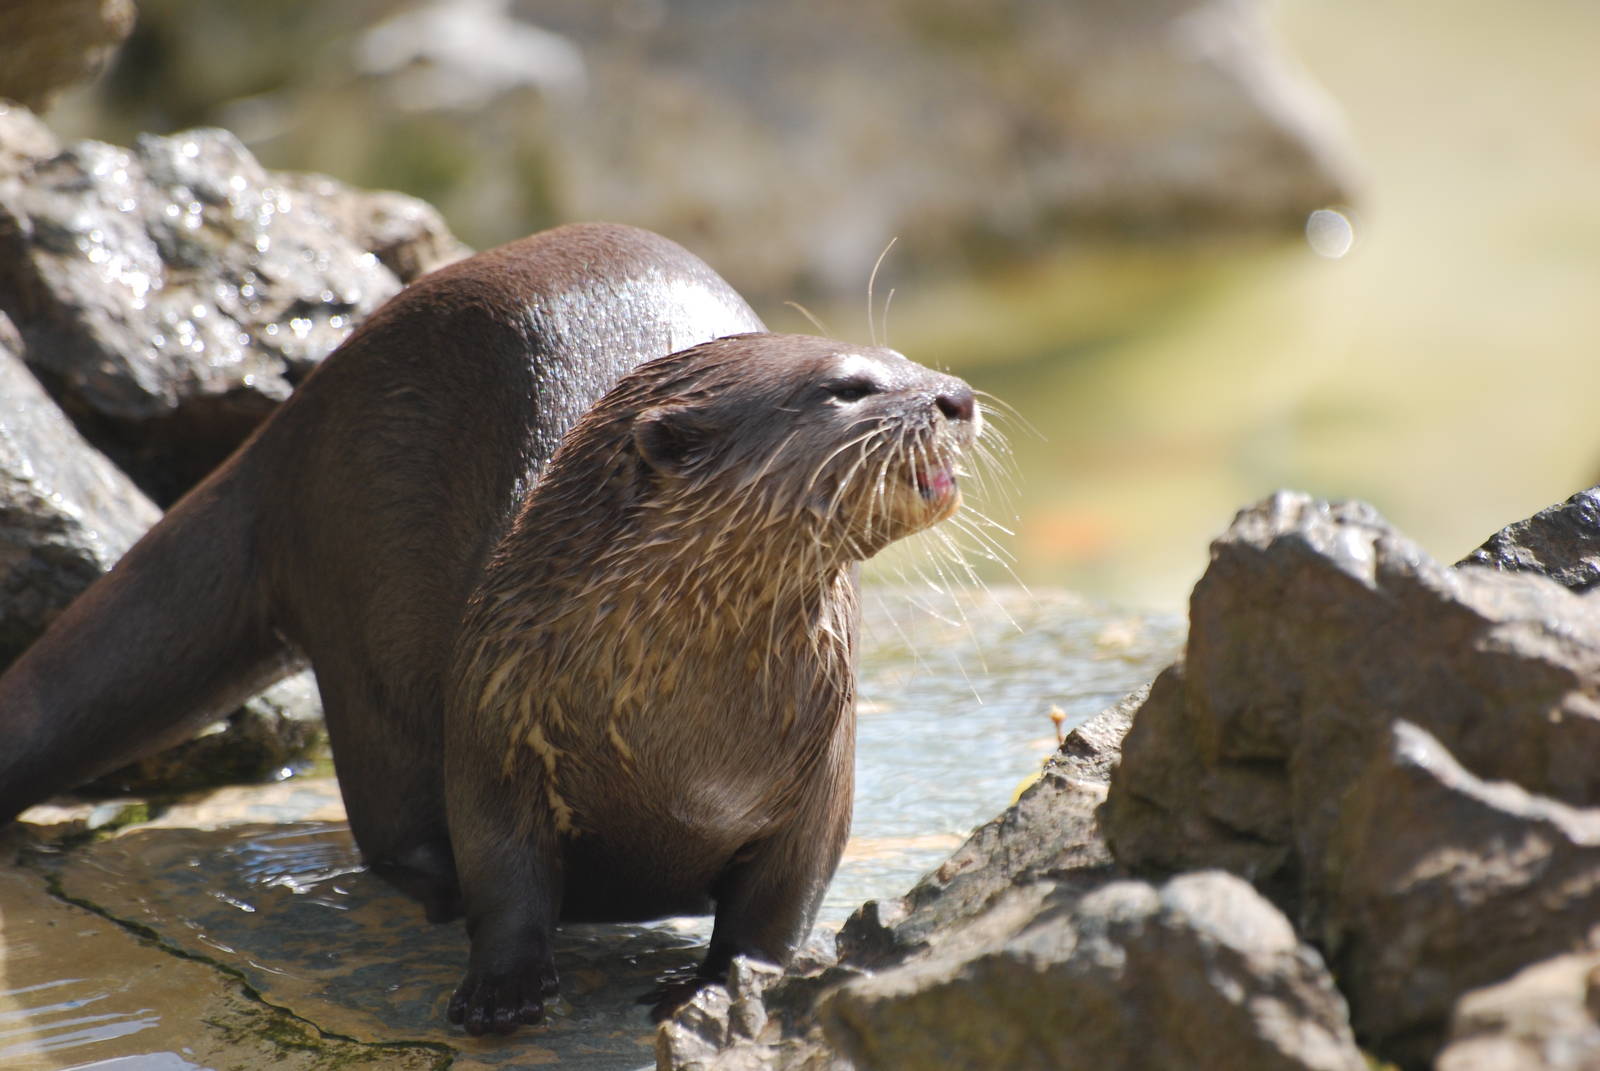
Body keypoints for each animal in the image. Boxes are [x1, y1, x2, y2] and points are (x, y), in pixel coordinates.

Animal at [0, 222, 980, 1035]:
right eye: (849, 387)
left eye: (905, 358)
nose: (959, 396)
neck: (690, 739)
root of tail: (289, 425)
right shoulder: (495, 717)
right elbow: (503, 873)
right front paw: (502, 989)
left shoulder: (820, 774)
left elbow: (776, 908)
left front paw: (719, 986)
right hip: (359, 612)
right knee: (390, 809)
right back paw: (428, 882)